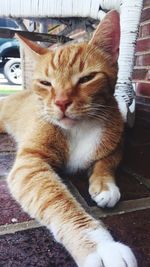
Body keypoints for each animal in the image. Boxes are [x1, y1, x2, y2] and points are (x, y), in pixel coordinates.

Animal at [0, 10, 137, 267]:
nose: (61, 102)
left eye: (87, 78)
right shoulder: (30, 164)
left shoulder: (117, 142)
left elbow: (106, 162)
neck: (79, 128)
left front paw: (104, 186)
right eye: (46, 83)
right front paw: (99, 245)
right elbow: (57, 202)